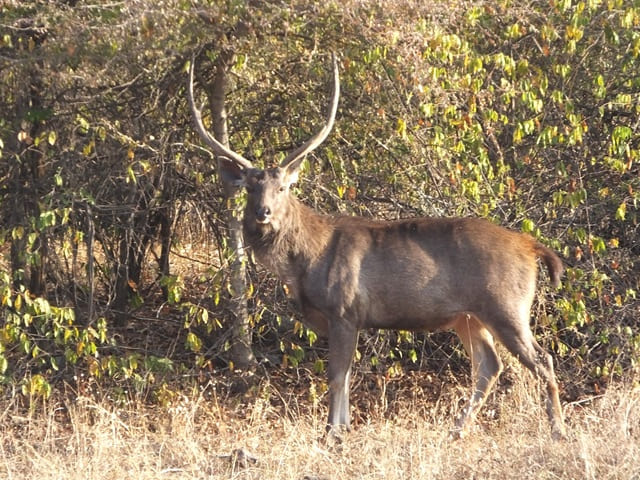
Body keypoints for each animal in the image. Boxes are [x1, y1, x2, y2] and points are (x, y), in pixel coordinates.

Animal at [187, 54, 567, 440]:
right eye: (250, 187)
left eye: (283, 188)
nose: (263, 213)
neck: (305, 262)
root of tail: (532, 247)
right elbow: (346, 377)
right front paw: (343, 428)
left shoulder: (344, 310)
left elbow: (337, 377)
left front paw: (333, 432)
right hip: (468, 316)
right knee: (489, 366)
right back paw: (457, 430)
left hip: (506, 304)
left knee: (541, 359)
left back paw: (558, 430)